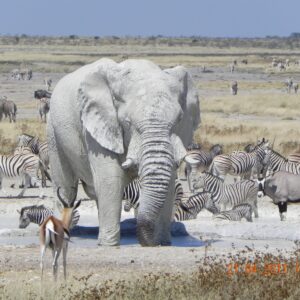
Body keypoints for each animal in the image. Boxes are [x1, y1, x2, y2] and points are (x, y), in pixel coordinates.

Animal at [48, 58, 200, 246]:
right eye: (127, 122)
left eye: (179, 120)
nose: (150, 242)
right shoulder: (98, 125)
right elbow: (110, 178)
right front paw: (109, 245)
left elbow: (170, 181)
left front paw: (164, 243)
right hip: (53, 131)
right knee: (65, 188)